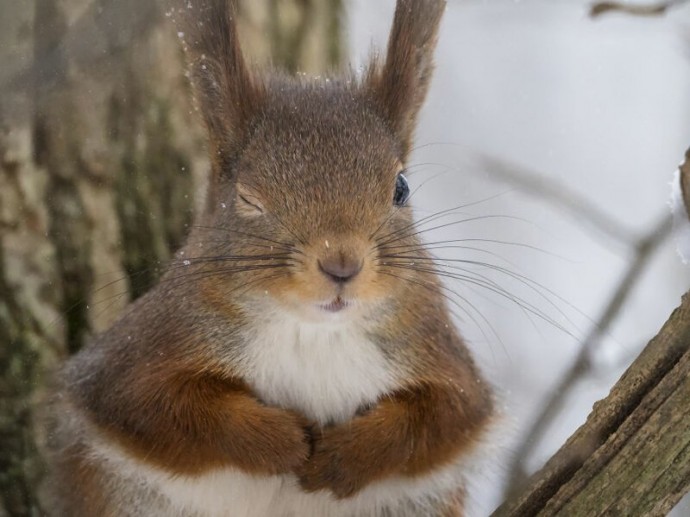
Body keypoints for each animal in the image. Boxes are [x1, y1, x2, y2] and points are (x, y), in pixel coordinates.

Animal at [44, 1, 494, 516]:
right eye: (248, 198)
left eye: (401, 188)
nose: (341, 265)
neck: (314, 332)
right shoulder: (139, 357)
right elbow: (165, 409)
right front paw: (285, 442)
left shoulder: (437, 355)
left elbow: (439, 419)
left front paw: (342, 457)